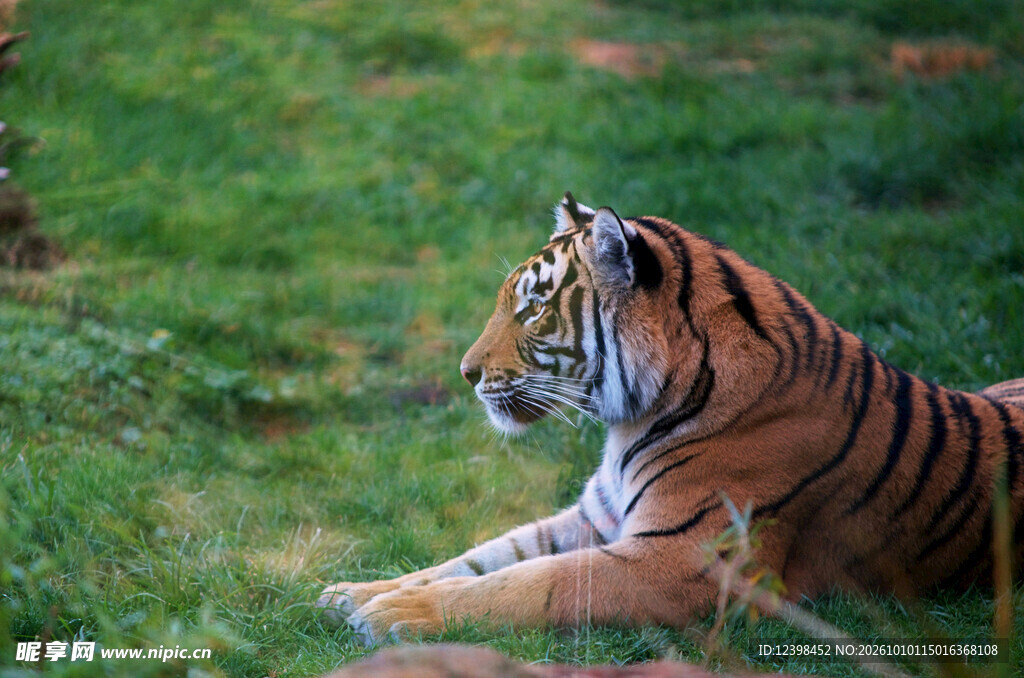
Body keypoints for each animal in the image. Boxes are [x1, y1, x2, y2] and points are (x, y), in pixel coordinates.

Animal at [318, 193, 1024, 645]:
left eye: (535, 308)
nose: (464, 373)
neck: (635, 417)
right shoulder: (595, 517)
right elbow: (481, 557)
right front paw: (355, 592)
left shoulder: (686, 561)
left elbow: (531, 582)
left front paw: (395, 615)